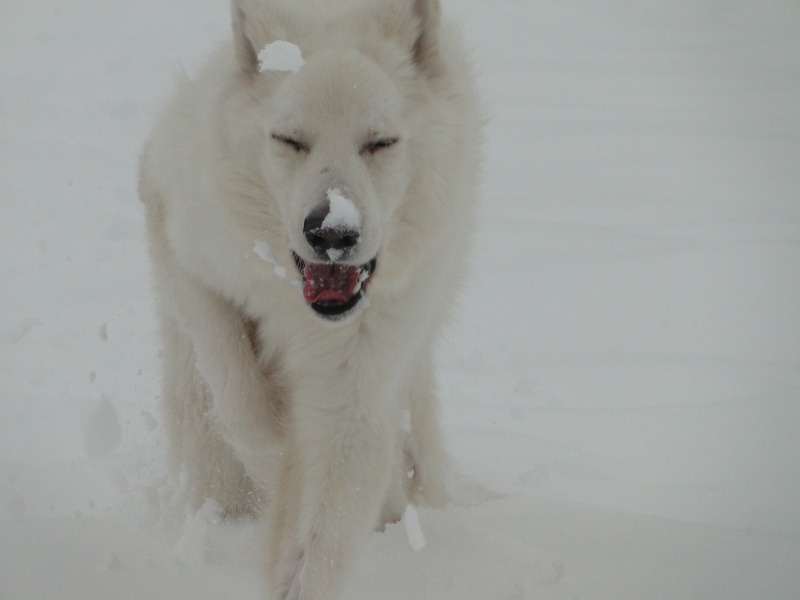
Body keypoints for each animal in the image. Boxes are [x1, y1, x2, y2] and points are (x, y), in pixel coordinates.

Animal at [139, 1, 482, 596]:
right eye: (289, 140)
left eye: (380, 142)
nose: (332, 231)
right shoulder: (184, 242)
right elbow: (243, 400)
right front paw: (277, 450)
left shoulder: (358, 381)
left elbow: (322, 531)